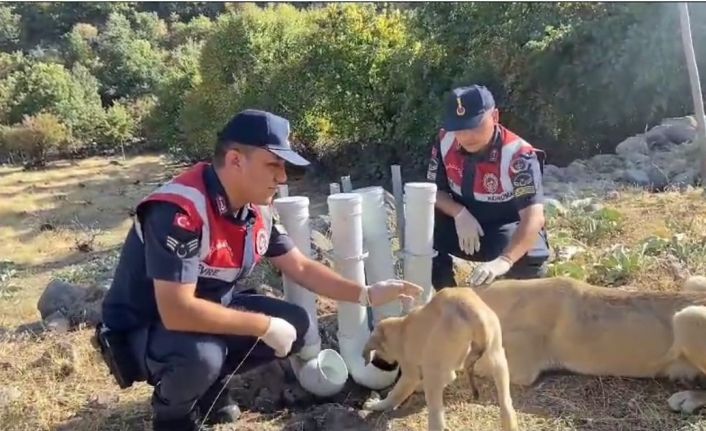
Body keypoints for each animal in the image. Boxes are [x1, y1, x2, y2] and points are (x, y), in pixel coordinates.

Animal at [360, 284, 516, 431]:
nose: (377, 362)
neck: (400, 327)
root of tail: (469, 308)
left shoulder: (410, 373)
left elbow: (396, 394)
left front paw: (377, 405)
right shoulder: (445, 370)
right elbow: (447, 378)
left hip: (433, 370)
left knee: (436, 416)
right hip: (498, 358)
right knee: (506, 404)